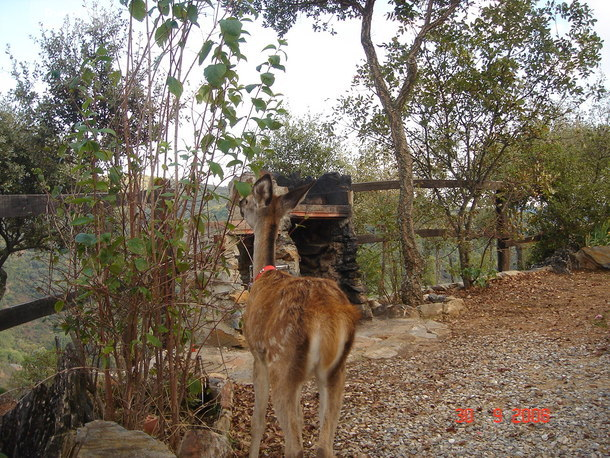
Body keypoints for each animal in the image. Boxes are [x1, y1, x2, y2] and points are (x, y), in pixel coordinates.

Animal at [238, 174, 358, 456]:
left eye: (248, 200)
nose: (238, 204)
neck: (262, 274)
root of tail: (328, 320)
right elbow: (303, 419)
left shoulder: (257, 355)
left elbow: (258, 421)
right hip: (335, 371)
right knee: (324, 445)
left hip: (282, 362)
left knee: (296, 445)